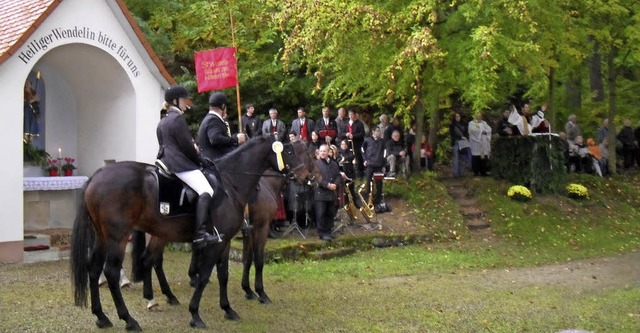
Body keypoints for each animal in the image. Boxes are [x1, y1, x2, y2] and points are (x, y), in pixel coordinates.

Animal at [70, 136, 318, 330]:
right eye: (291, 151)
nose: (311, 178)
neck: (232, 182)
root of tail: (97, 175)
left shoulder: (226, 239)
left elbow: (224, 273)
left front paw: (229, 308)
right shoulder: (249, 231)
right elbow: (216, 272)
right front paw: (196, 314)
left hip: (106, 236)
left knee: (97, 267)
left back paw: (104, 316)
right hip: (118, 237)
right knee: (113, 271)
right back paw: (129, 319)